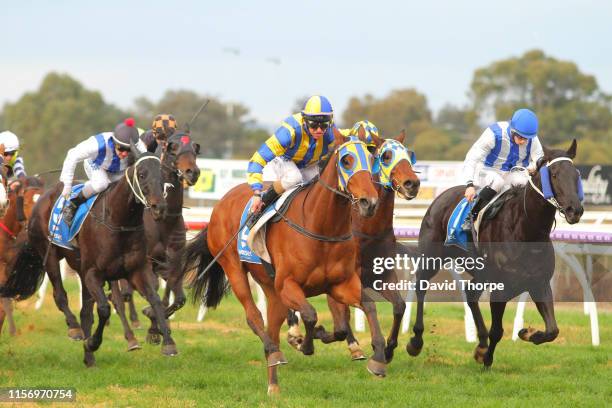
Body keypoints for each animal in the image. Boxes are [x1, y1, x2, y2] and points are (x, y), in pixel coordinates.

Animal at [180, 128, 388, 396]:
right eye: (346, 160)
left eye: (372, 160)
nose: (369, 202)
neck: (322, 226)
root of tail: (221, 203)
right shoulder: (288, 284)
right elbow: (310, 314)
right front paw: (303, 343)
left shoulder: (340, 284)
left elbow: (364, 310)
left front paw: (377, 359)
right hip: (234, 268)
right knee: (254, 318)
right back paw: (274, 351)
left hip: (271, 289)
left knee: (272, 325)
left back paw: (274, 384)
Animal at [286, 130, 420, 364]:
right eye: (386, 156)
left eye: (409, 156)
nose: (412, 183)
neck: (369, 230)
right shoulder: (341, 279)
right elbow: (341, 323)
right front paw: (330, 336)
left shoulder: (382, 276)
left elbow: (399, 306)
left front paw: (389, 349)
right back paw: (295, 332)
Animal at [406, 140, 584, 366]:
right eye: (553, 174)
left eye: (576, 174)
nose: (574, 210)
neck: (525, 229)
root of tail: (442, 196)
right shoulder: (501, 288)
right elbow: (497, 331)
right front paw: (487, 359)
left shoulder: (539, 283)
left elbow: (553, 330)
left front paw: (527, 333)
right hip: (431, 257)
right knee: (421, 286)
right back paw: (415, 341)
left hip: (481, 273)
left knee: (471, 294)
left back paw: (481, 342)